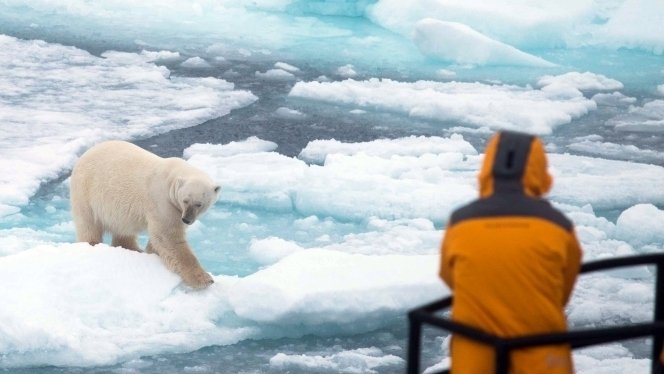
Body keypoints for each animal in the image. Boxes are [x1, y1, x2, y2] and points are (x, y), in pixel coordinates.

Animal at [70, 140, 220, 290]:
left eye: (199, 204)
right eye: (185, 200)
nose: (186, 219)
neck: (171, 178)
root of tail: (85, 155)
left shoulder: (175, 209)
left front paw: (151, 251)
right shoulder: (162, 201)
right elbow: (168, 237)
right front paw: (204, 279)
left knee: (123, 230)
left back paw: (134, 249)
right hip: (86, 190)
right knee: (88, 223)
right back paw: (93, 243)